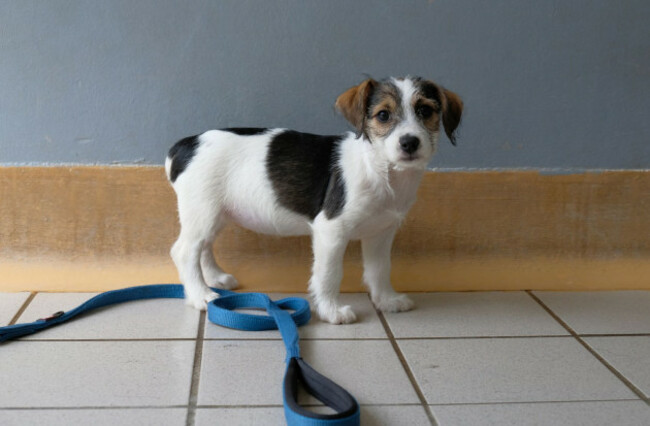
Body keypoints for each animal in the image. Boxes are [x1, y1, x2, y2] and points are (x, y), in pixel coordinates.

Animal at [167, 75, 460, 322]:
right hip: (203, 212)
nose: (409, 142)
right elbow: (329, 274)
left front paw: (387, 300)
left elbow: (380, 269)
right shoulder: (331, 230)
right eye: (383, 115)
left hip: (215, 214)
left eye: (426, 111)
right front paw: (331, 311)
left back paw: (215, 278)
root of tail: (185, 145)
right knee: (185, 251)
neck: (380, 169)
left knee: (204, 247)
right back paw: (201, 295)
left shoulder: (381, 233)